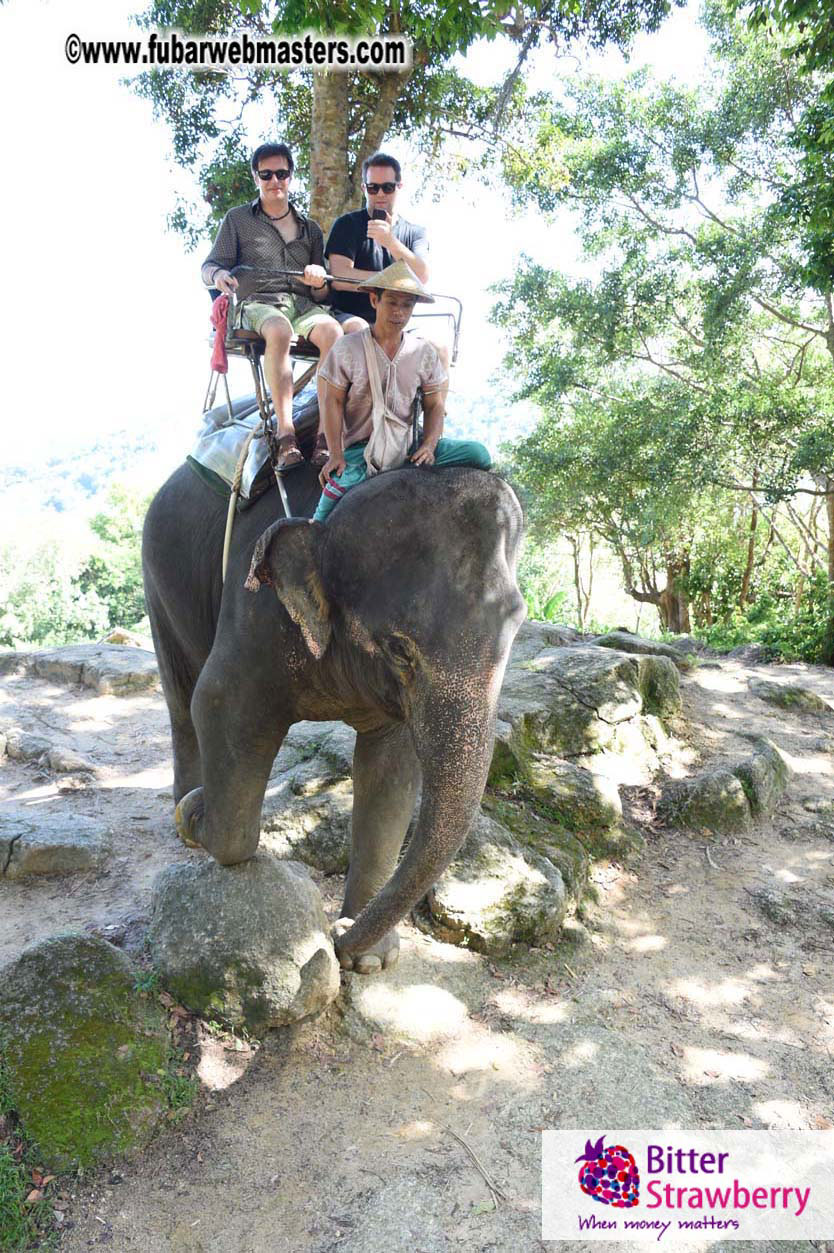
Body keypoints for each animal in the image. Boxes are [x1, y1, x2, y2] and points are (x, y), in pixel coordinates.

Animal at [142, 457, 525, 973]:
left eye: (516, 630)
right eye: (399, 649)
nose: (337, 939)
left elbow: (390, 772)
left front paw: (370, 961)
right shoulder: (256, 611)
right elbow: (219, 706)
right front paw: (196, 816)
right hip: (155, 575)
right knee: (182, 698)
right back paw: (183, 809)